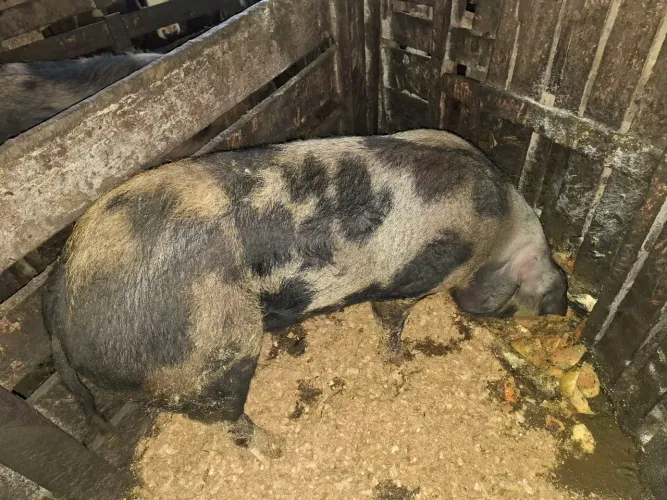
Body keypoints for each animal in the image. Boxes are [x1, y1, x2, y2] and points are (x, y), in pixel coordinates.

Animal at [42, 129, 568, 457]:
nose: (560, 308)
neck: (494, 235)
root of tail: (61, 295)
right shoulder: (414, 278)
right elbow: (391, 320)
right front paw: (399, 361)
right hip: (206, 357)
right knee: (224, 416)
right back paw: (277, 448)